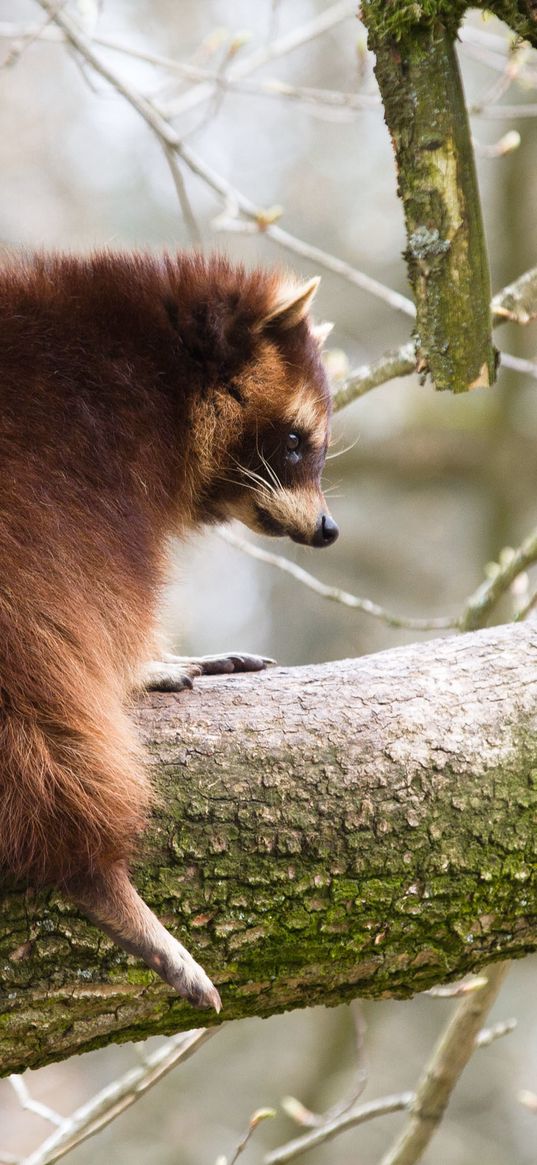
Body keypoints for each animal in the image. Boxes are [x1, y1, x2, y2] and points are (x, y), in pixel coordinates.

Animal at [0, 248, 337, 1011]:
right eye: (295, 442)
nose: (329, 529)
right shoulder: (86, 457)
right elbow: (96, 605)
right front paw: (142, 664)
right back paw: (93, 869)